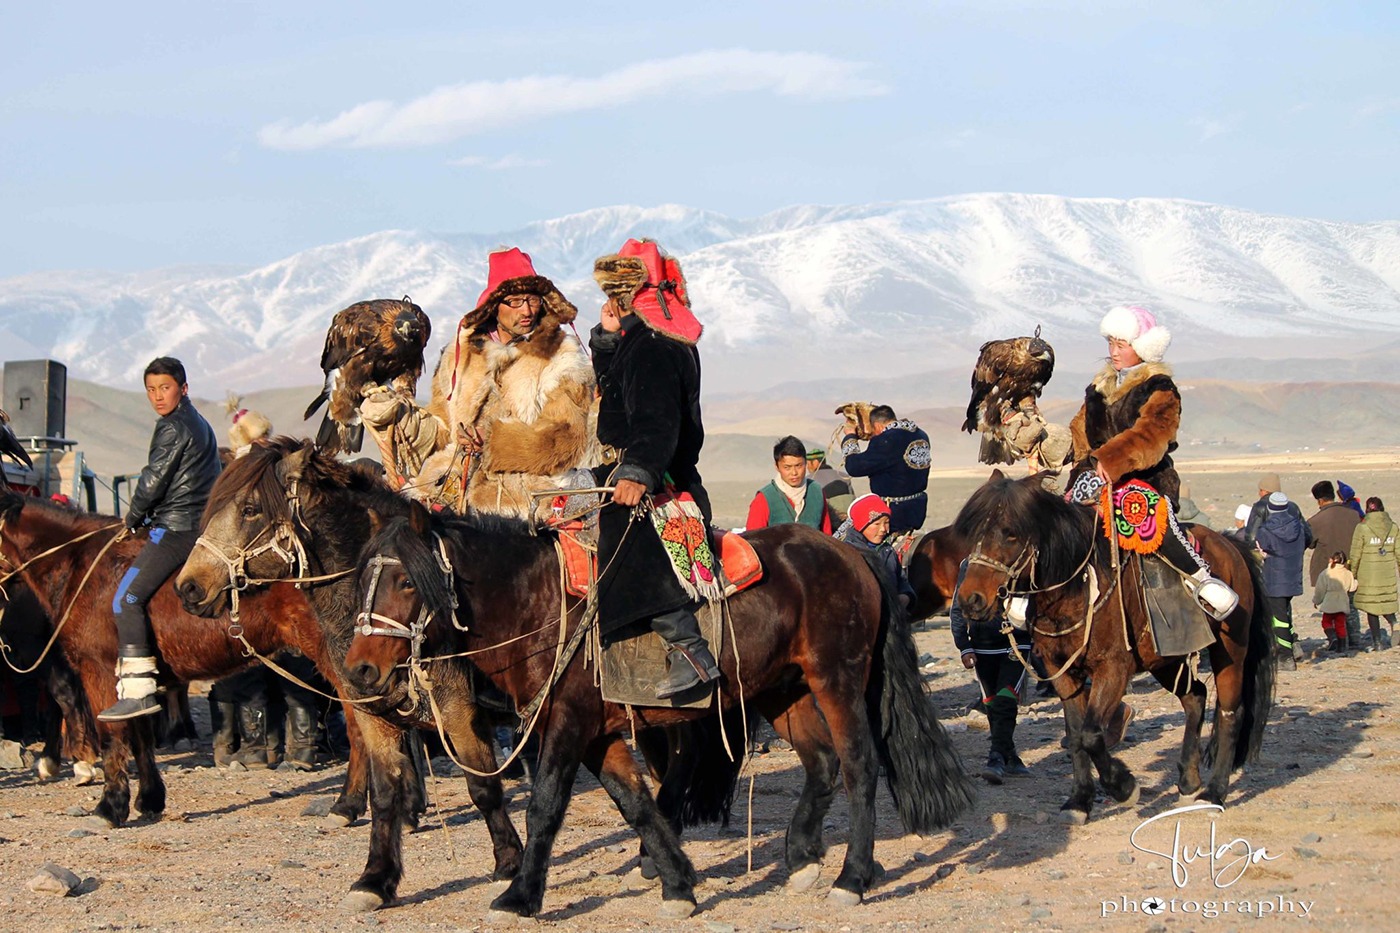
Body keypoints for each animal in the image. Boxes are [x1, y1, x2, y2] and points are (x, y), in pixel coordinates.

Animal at [0, 490, 372, 823]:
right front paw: (149, 799)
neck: (81, 564)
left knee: (360, 728)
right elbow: (140, 737)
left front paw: (110, 807)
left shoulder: (99, 670)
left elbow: (113, 736)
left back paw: (347, 805)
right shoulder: (133, 682)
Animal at [341, 501, 974, 913]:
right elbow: (636, 805)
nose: (359, 670)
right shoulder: (597, 732)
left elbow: (545, 806)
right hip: (781, 689)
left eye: (405, 580)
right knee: (821, 764)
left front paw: (520, 894)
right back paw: (800, 858)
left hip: (836, 680)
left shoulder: (568, 724)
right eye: (362, 577)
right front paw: (678, 883)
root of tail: (851, 555)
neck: (539, 602)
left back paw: (852, 877)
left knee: (860, 766)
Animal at [952, 473, 1271, 823]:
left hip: (1230, 651)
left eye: (1010, 533)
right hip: (1164, 657)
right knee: (1195, 697)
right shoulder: (1062, 672)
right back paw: (1189, 781)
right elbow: (1076, 734)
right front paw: (1079, 801)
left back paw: (1214, 793)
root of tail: (1231, 546)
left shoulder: (1113, 669)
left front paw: (1124, 787)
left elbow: (1091, 735)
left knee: (1230, 713)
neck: (1075, 590)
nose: (970, 600)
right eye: (974, 533)